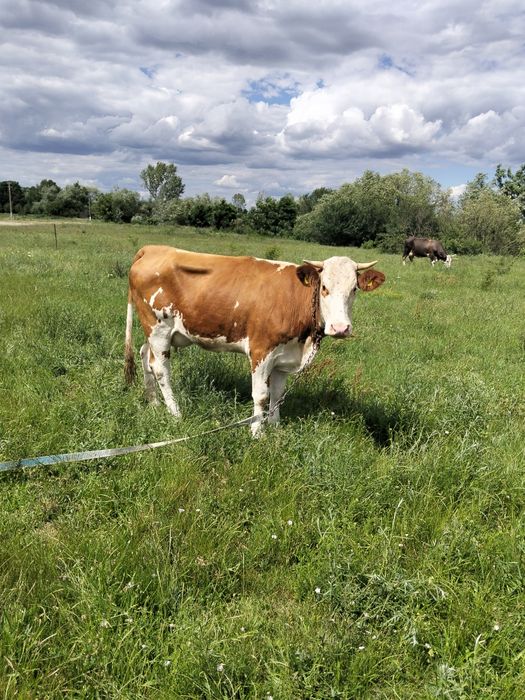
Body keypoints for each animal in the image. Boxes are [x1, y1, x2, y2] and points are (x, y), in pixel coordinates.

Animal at [124, 245, 385, 436]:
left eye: (354, 289)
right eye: (324, 287)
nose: (340, 328)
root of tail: (154, 248)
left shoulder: (284, 357)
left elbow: (278, 395)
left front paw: (276, 427)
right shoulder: (262, 351)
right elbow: (261, 395)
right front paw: (257, 432)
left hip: (157, 332)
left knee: (145, 356)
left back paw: (153, 403)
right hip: (158, 327)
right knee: (160, 369)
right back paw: (175, 412)